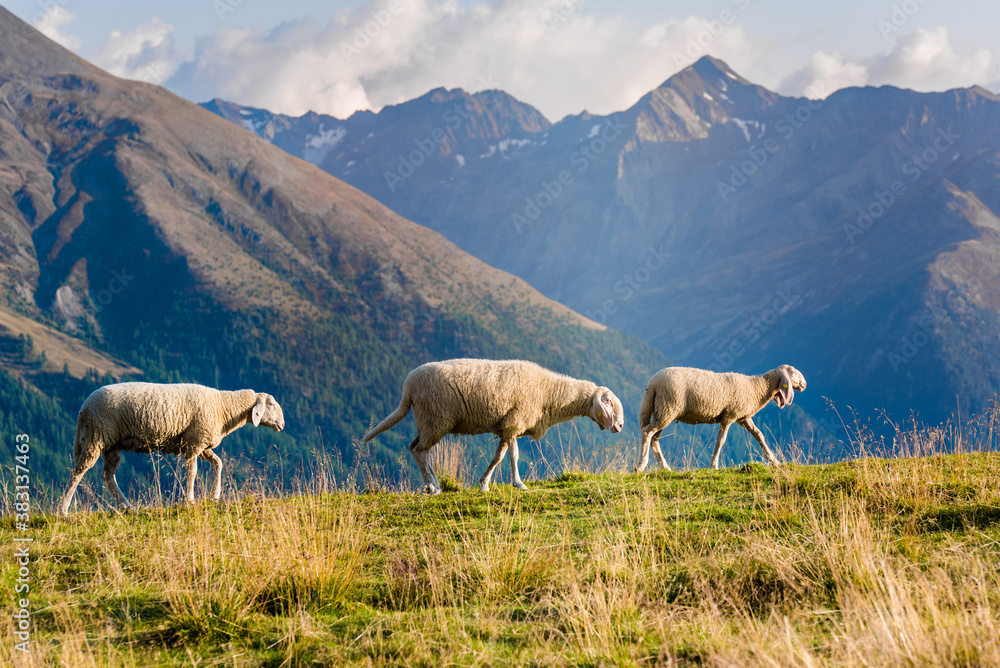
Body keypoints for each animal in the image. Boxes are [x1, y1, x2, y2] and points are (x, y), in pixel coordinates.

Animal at [58, 382, 285, 516]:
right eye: (271, 405)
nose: (282, 425)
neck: (223, 406)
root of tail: (84, 408)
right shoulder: (194, 443)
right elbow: (193, 472)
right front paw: (190, 500)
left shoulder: (199, 443)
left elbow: (218, 463)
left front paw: (215, 495)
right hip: (96, 436)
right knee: (78, 472)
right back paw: (63, 510)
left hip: (111, 444)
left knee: (108, 475)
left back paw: (127, 506)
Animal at [363, 358, 625, 494]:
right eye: (608, 401)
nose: (620, 426)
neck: (549, 393)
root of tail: (408, 387)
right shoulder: (514, 423)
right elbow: (514, 456)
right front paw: (519, 483)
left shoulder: (506, 427)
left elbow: (498, 457)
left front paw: (484, 484)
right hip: (435, 419)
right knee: (420, 451)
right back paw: (433, 487)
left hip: (428, 422)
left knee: (415, 447)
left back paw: (435, 483)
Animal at [635, 365, 806, 472]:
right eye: (793, 372)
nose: (804, 384)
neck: (757, 387)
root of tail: (653, 384)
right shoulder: (730, 416)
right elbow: (721, 440)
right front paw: (714, 464)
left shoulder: (743, 417)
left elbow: (759, 435)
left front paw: (774, 461)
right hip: (668, 408)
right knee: (647, 432)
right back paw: (641, 465)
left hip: (662, 411)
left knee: (654, 438)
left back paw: (664, 467)